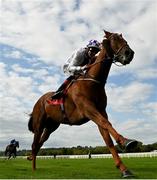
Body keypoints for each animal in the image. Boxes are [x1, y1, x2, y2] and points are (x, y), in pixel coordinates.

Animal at [27, 30, 137, 177]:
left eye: (125, 40)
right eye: (114, 38)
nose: (129, 53)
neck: (93, 82)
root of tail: (39, 101)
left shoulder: (101, 111)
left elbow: (107, 138)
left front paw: (123, 168)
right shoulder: (88, 109)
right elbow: (106, 124)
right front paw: (126, 142)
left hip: (51, 126)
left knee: (39, 143)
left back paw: (33, 163)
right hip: (39, 124)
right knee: (34, 144)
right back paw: (33, 169)